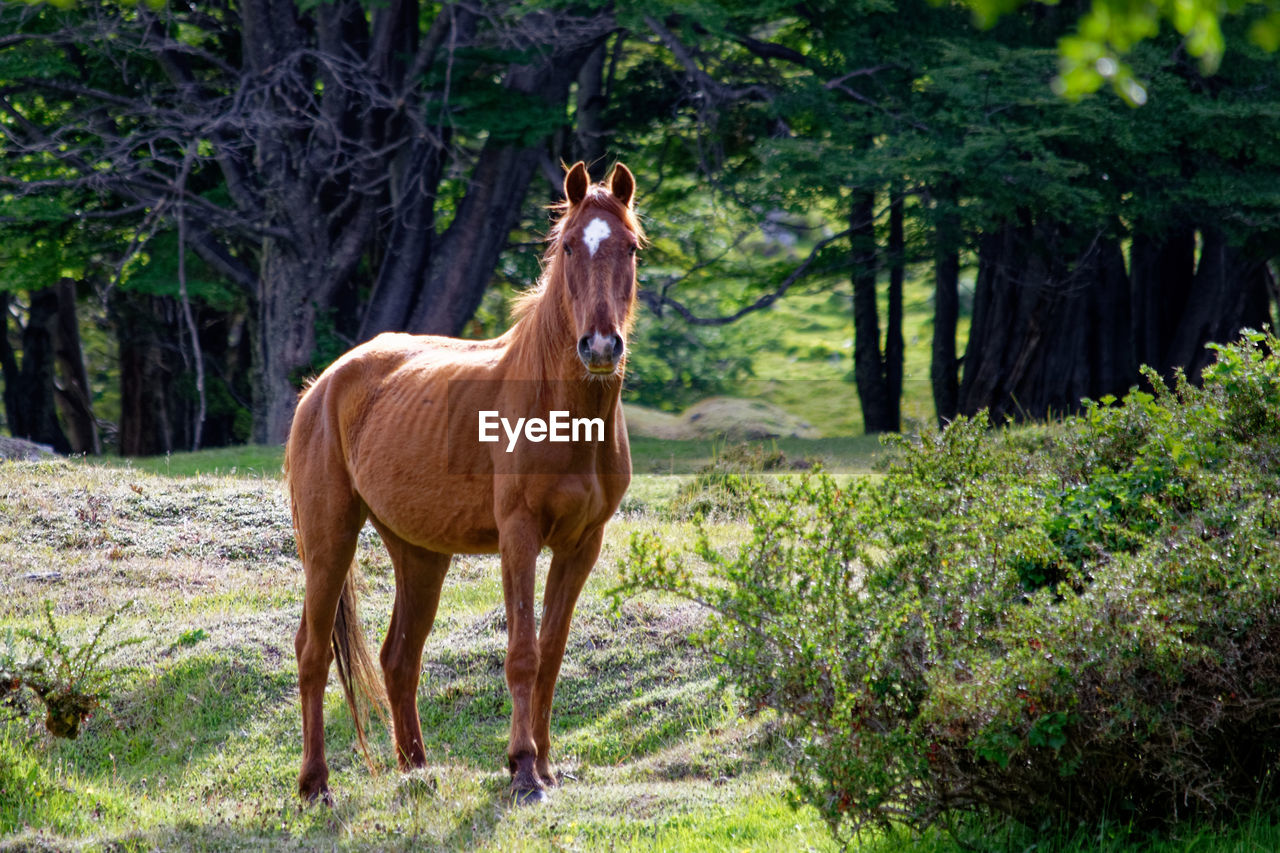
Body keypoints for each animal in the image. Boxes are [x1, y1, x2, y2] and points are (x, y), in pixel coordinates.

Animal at [281, 161, 640, 804]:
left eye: (630, 247)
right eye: (570, 246)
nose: (601, 346)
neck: (560, 408)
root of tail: (322, 385)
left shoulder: (582, 545)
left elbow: (551, 654)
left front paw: (546, 765)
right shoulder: (520, 536)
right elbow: (522, 653)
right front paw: (523, 770)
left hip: (419, 553)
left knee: (399, 658)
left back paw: (417, 769)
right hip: (329, 543)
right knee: (313, 652)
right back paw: (315, 784)